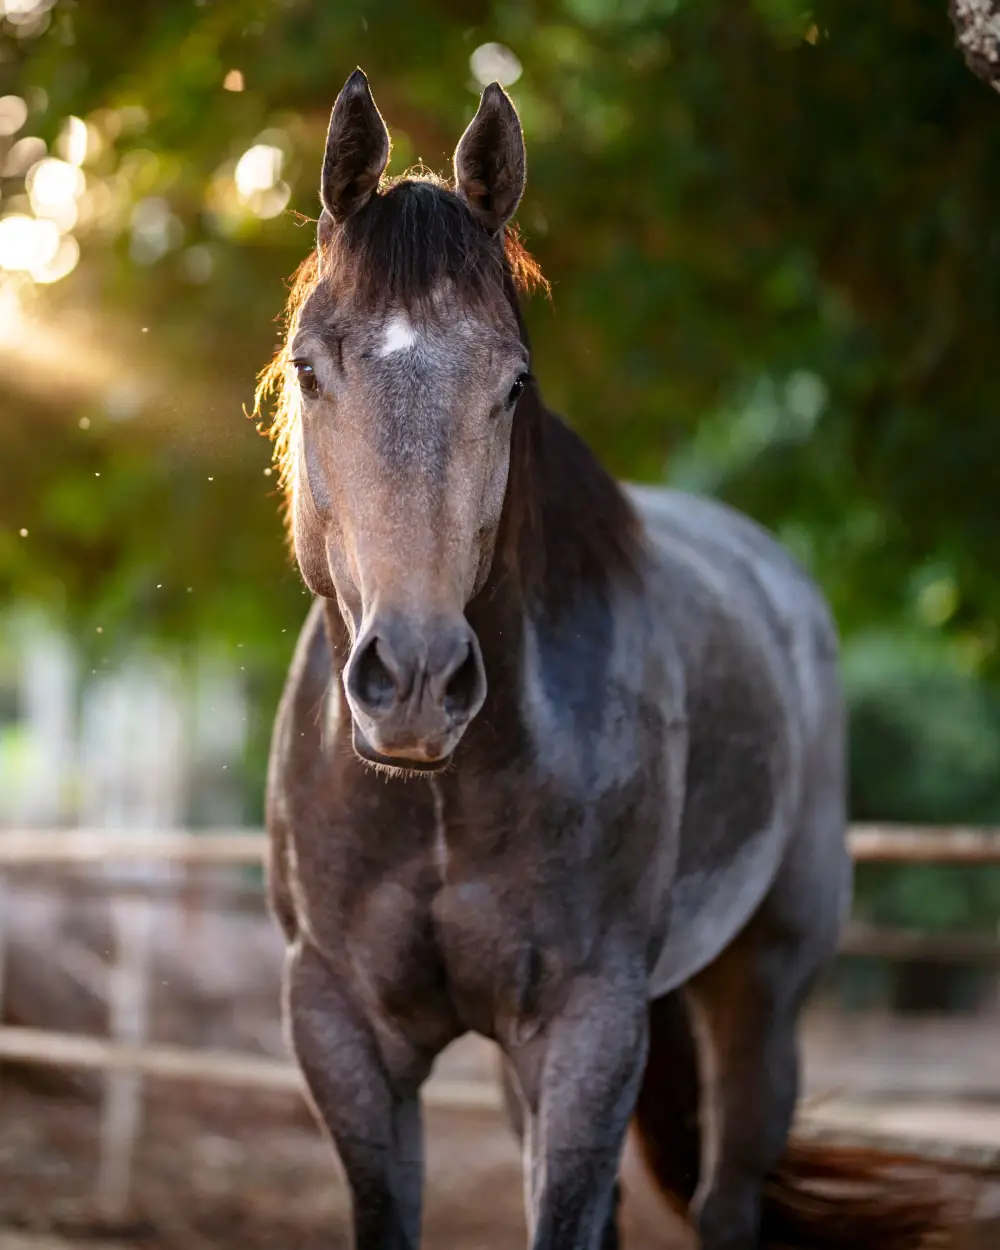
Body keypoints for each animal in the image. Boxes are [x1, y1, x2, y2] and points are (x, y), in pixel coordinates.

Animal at [256, 69, 949, 1250]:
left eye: (512, 384)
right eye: (308, 370)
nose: (419, 683)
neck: (438, 797)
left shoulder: (590, 1024)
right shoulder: (340, 1028)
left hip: (762, 992)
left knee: (727, 1195)